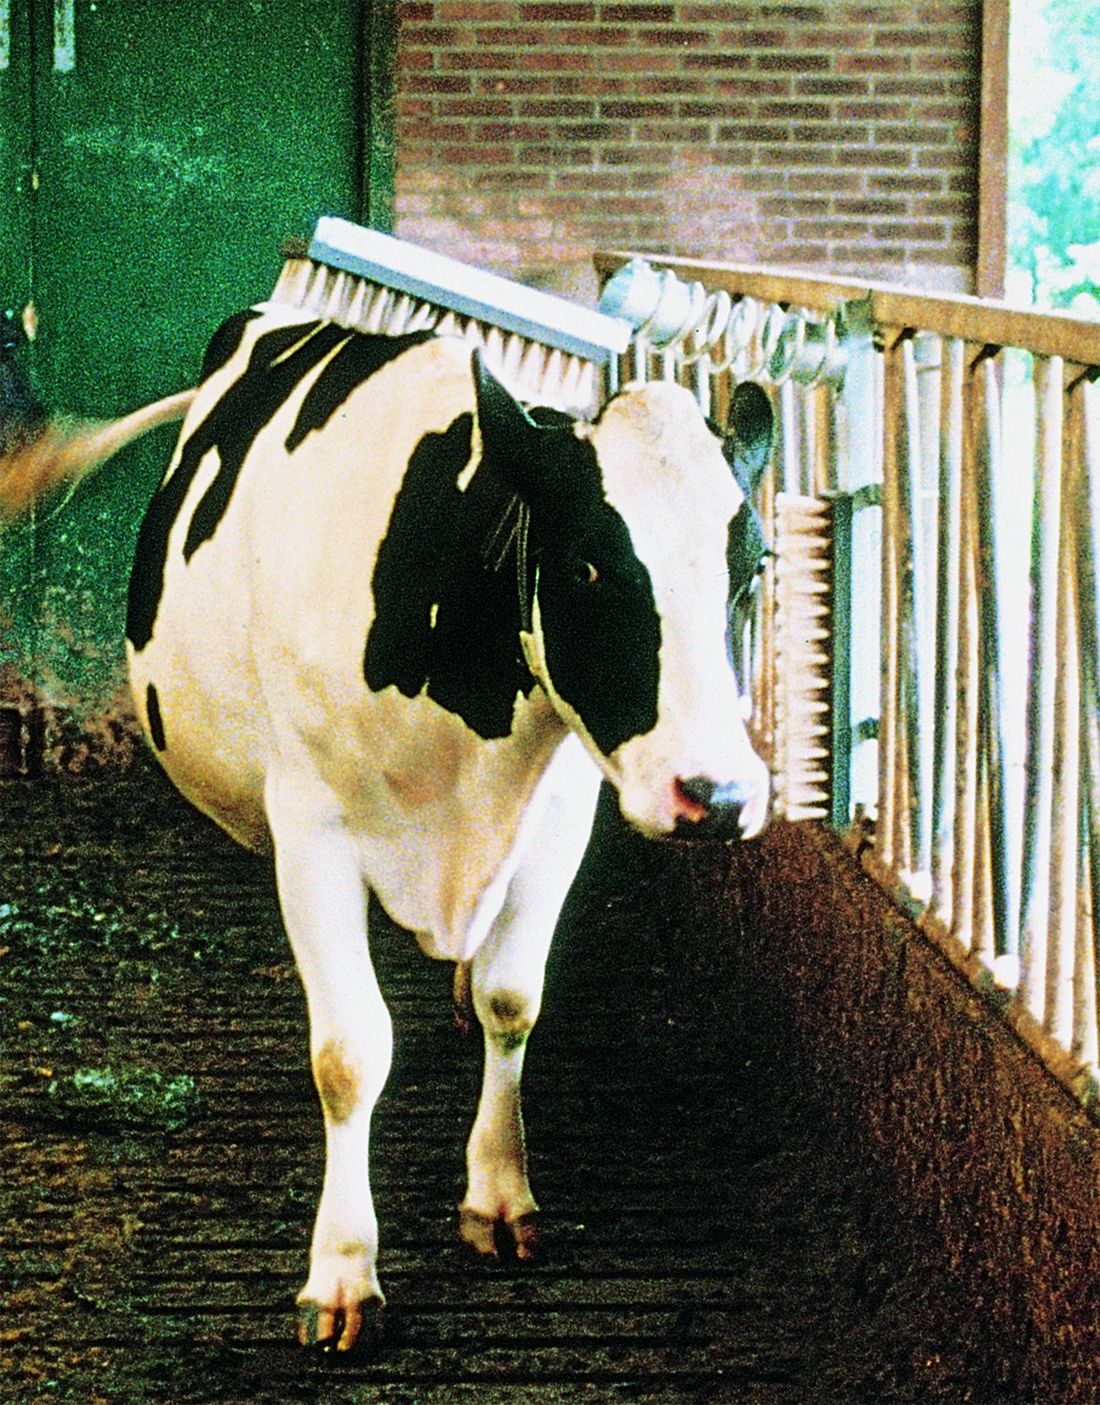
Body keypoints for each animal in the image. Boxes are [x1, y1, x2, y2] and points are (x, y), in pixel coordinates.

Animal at [0, 304, 774, 1353]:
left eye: (755, 568)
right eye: (587, 563)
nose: (719, 795)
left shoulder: (560, 817)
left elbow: (512, 999)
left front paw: (499, 1193)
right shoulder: (313, 827)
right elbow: (351, 1051)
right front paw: (340, 1272)